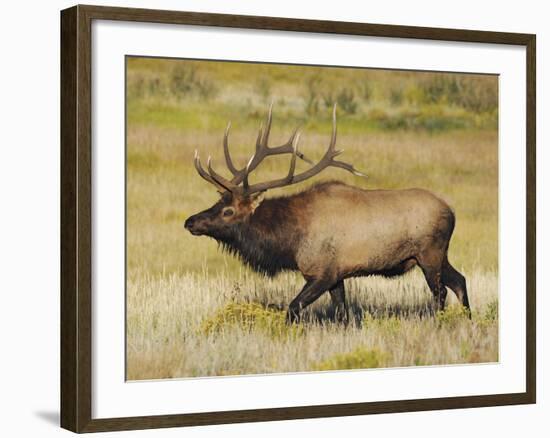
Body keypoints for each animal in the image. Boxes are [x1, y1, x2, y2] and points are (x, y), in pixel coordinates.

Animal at [184, 104, 470, 324]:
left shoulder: (322, 272)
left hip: (429, 254)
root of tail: (452, 212)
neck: (290, 241)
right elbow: (343, 314)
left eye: (228, 210)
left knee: (441, 292)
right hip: (439, 255)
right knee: (460, 281)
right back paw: (468, 321)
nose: (190, 221)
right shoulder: (337, 275)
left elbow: (293, 308)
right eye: (217, 201)